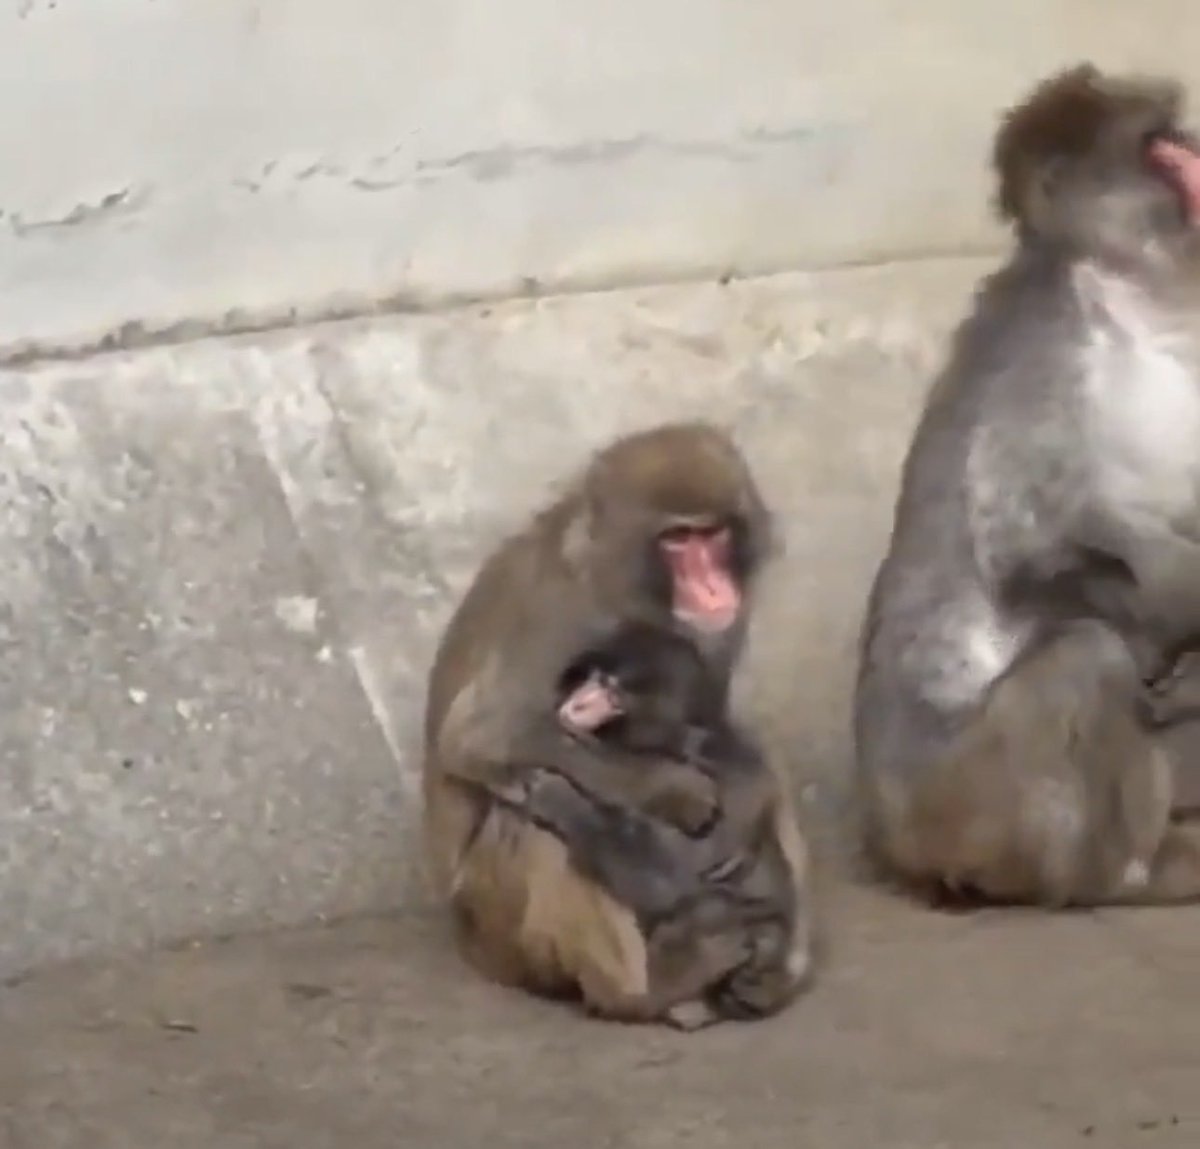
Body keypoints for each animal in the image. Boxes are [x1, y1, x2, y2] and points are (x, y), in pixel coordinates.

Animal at [421, 421, 814, 1028]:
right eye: (677, 540)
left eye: (714, 534)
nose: (714, 590)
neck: (622, 584)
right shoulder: (560, 616)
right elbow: (481, 737)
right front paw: (672, 788)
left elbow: (718, 729)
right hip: (494, 927)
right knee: (530, 816)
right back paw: (643, 992)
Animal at [853, 64, 1200, 910]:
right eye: (1163, 148)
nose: (1198, 151)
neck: (1134, 290)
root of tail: (898, 841)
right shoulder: (1051, 355)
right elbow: (1030, 543)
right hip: (979, 795)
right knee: (1086, 651)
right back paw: (1129, 874)